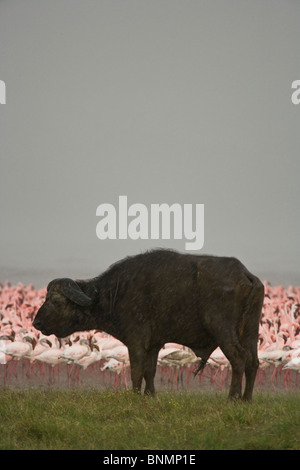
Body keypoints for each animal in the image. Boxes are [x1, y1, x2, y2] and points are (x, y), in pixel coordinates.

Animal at [32, 250, 262, 400]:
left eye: (55, 301)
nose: (36, 322)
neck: (115, 293)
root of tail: (246, 275)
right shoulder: (154, 344)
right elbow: (150, 371)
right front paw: (149, 395)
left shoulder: (135, 342)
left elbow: (136, 371)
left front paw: (135, 396)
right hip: (250, 332)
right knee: (253, 361)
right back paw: (246, 399)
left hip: (223, 330)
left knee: (239, 358)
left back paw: (232, 398)